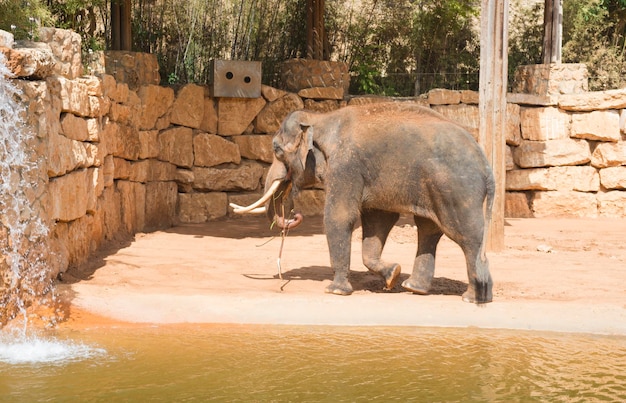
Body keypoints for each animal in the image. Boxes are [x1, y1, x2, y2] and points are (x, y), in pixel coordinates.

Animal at [232, 102, 494, 304]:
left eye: (276, 150)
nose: (294, 215)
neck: (321, 118)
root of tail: (486, 164)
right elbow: (378, 220)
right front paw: (392, 275)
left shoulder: (346, 165)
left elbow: (339, 216)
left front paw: (335, 291)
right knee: (429, 229)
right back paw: (415, 288)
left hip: (457, 190)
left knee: (467, 237)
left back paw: (471, 298)